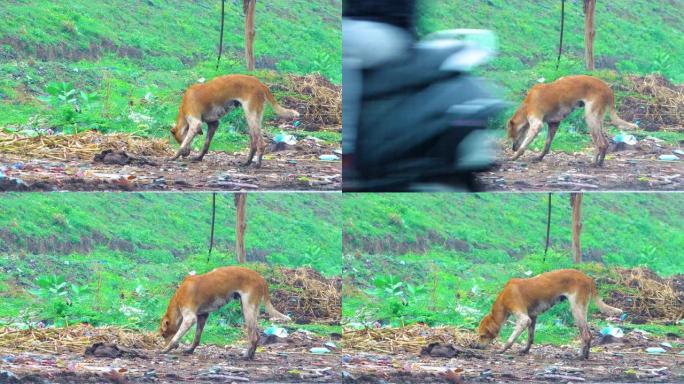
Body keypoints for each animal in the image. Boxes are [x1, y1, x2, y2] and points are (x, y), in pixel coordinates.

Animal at [159, 266, 290, 358]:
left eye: (163, 335)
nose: (164, 344)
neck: (178, 296)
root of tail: (261, 278)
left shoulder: (189, 318)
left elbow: (176, 336)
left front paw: (167, 348)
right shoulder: (202, 316)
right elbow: (197, 337)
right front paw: (190, 350)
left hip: (248, 308)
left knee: (253, 337)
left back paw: (246, 355)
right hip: (249, 309)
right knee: (256, 335)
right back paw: (251, 354)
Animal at [170, 74, 298, 166]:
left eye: (179, 140)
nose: (185, 155)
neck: (183, 108)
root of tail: (259, 83)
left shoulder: (195, 124)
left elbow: (185, 143)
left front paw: (175, 156)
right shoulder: (213, 124)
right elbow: (206, 144)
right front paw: (199, 157)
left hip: (250, 115)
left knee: (260, 143)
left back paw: (257, 164)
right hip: (255, 117)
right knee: (254, 142)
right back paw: (247, 162)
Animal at [478, 268, 624, 358]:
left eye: (482, 335)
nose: (476, 346)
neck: (503, 298)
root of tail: (588, 278)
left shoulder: (524, 318)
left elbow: (511, 338)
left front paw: (503, 349)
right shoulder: (533, 317)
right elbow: (531, 337)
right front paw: (525, 350)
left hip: (576, 308)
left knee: (586, 335)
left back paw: (581, 356)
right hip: (582, 309)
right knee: (588, 333)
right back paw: (585, 354)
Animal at [504, 75, 640, 165]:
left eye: (512, 136)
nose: (513, 148)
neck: (526, 106)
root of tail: (608, 89)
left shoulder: (537, 124)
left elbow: (523, 146)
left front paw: (514, 157)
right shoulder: (554, 124)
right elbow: (547, 145)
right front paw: (539, 158)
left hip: (590, 118)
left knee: (601, 143)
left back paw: (595, 163)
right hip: (597, 120)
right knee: (603, 143)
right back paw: (597, 161)